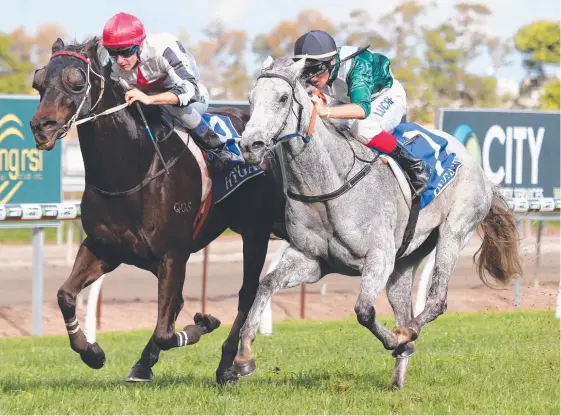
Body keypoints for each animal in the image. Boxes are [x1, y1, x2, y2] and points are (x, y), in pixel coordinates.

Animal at [232, 57, 520, 392]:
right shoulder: (311, 260)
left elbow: (364, 310)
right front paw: (243, 357)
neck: (329, 184)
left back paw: (407, 335)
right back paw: (398, 377)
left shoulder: (378, 258)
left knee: (436, 300)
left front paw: (396, 340)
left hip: (454, 229)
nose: (250, 145)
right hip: (405, 260)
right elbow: (265, 284)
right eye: (250, 99)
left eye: (282, 98)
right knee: (405, 307)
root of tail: (476, 166)